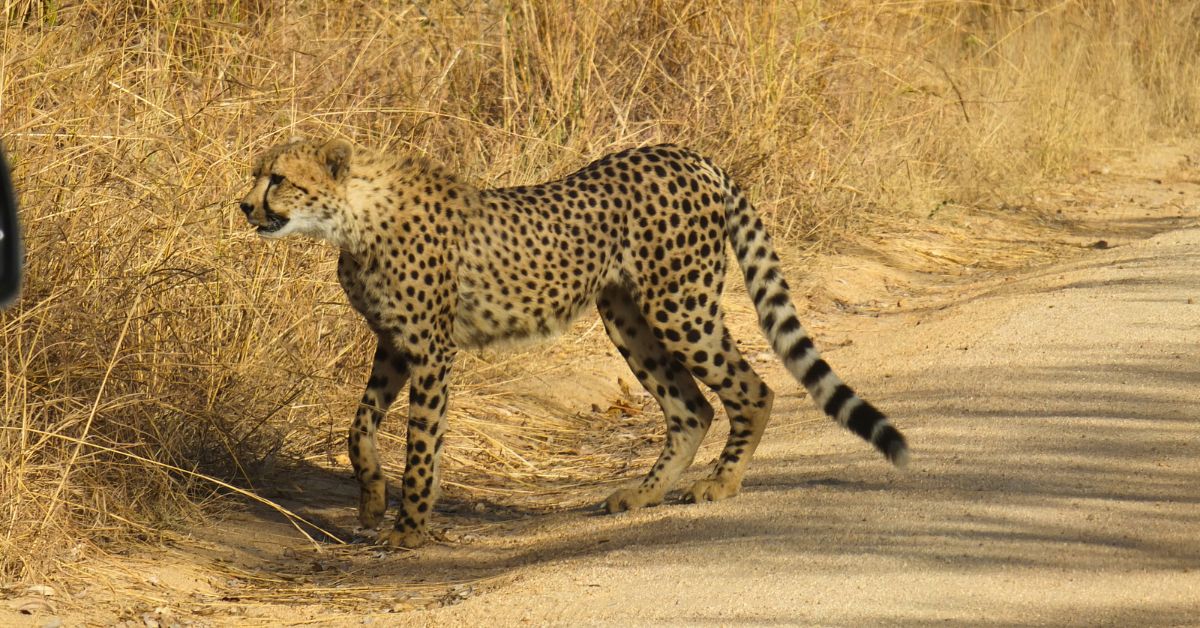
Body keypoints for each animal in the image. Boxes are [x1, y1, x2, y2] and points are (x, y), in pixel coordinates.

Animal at [238, 138, 909, 548]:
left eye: (279, 179)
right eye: (257, 177)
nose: (244, 206)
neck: (353, 216)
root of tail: (690, 156)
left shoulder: (431, 350)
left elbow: (421, 442)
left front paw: (408, 526)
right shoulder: (394, 345)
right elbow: (359, 426)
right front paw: (373, 500)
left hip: (679, 306)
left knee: (752, 388)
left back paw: (719, 484)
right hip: (627, 318)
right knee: (691, 406)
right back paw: (642, 493)